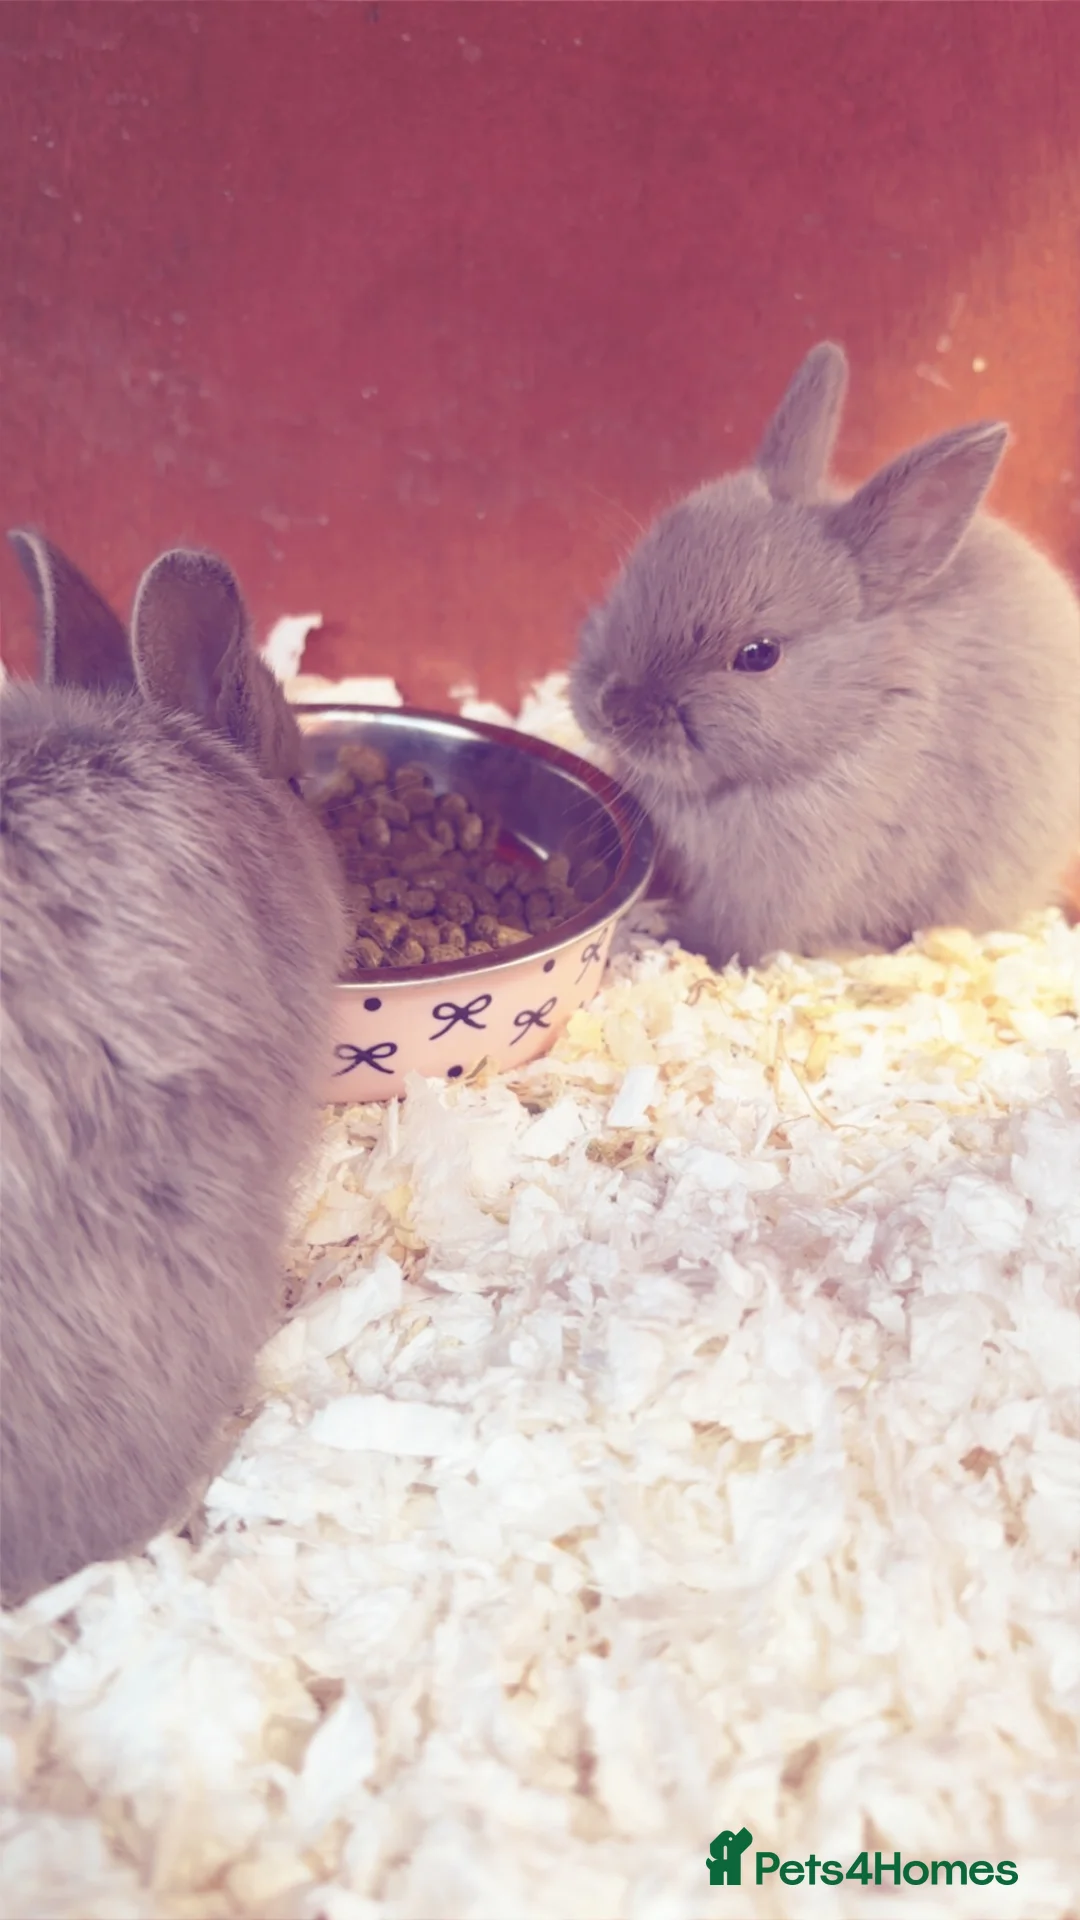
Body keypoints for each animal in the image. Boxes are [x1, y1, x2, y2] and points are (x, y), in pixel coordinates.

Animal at [569, 341, 1080, 969]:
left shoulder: (772, 891)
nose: (611, 709)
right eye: (633, 573)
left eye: (759, 655)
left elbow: (724, 936)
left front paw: (673, 941)